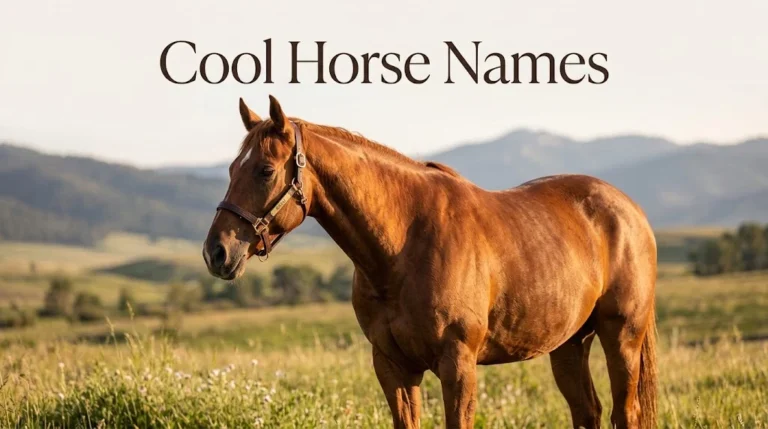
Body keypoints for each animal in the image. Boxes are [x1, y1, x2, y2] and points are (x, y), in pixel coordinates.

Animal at [203, 95, 658, 429]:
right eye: (231, 168)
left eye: (265, 170)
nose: (216, 252)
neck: (404, 246)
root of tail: (630, 210)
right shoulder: (394, 367)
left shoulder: (458, 366)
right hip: (568, 344)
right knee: (588, 411)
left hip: (622, 337)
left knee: (625, 413)